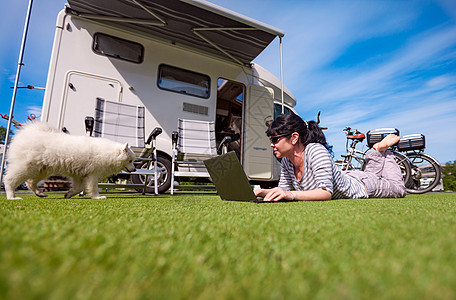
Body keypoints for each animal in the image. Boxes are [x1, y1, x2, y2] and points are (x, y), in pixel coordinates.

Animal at [4, 120, 135, 200]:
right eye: (130, 161)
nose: (135, 169)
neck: (109, 154)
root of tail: (28, 133)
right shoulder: (92, 174)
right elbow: (92, 187)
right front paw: (97, 197)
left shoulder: (80, 176)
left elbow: (78, 188)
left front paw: (69, 194)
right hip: (26, 167)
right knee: (9, 179)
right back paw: (12, 197)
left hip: (42, 170)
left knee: (30, 182)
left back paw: (39, 193)